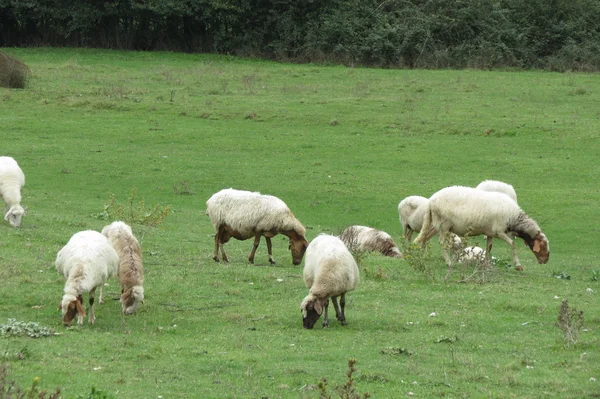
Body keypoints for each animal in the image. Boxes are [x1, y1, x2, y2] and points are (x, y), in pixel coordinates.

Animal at [414, 188, 552, 272]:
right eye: (543, 245)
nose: (546, 261)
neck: (514, 218)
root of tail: (431, 200)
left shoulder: (490, 233)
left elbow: (488, 248)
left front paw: (487, 264)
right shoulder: (500, 232)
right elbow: (513, 244)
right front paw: (518, 266)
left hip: (436, 224)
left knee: (425, 237)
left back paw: (422, 258)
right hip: (444, 225)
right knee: (442, 243)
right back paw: (449, 262)